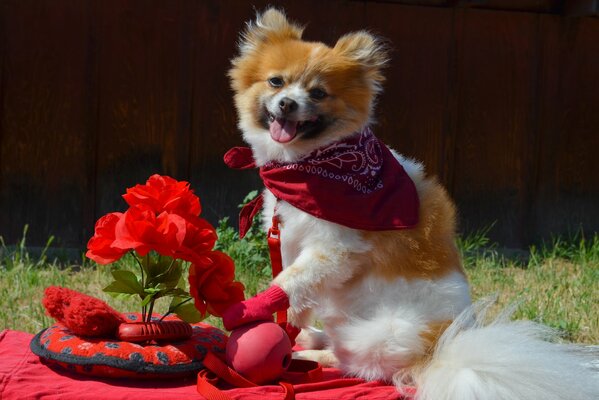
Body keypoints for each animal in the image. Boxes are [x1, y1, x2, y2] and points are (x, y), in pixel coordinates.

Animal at [223, 7, 596, 400]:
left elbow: (290, 281)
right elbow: (297, 294)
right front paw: (289, 324)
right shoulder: (291, 240)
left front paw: (253, 310)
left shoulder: (334, 249)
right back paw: (312, 338)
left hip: (374, 334)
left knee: (360, 365)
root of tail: (440, 353)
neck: (309, 166)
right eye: (276, 82)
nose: (287, 103)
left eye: (319, 93)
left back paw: (312, 353)